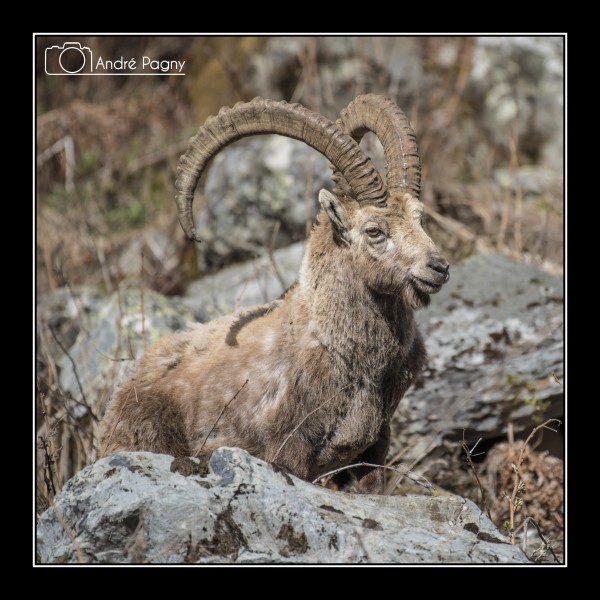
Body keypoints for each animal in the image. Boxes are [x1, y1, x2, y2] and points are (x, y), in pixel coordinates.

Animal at [99, 95, 450, 493]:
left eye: (420, 219)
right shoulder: (288, 448)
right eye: (374, 230)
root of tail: (116, 402)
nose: (438, 268)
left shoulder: (373, 448)